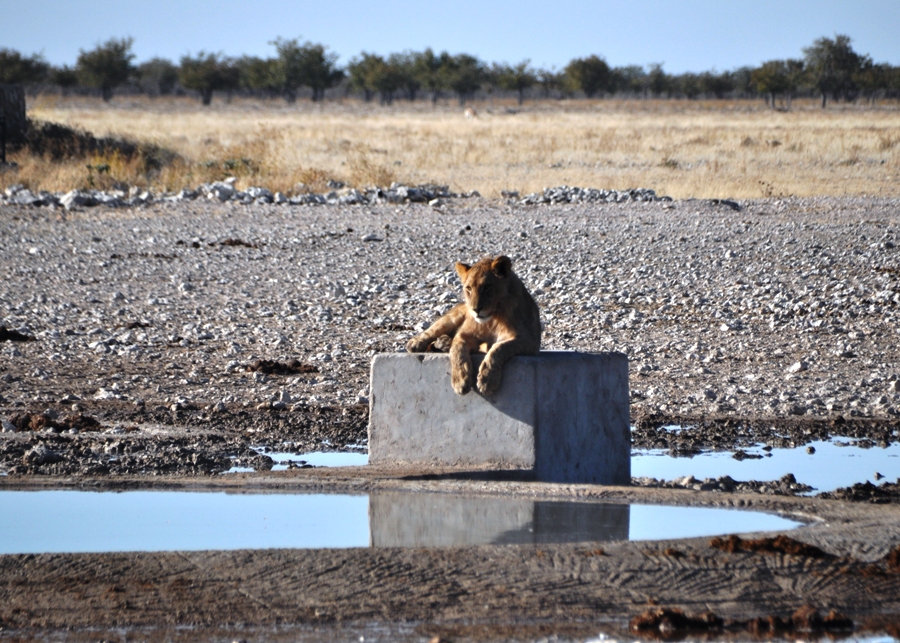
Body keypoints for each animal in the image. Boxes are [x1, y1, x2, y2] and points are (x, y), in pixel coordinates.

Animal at [408, 254, 540, 394]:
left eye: (487, 286)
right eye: (469, 288)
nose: (476, 309)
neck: (492, 320)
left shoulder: (530, 341)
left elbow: (499, 348)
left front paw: (487, 380)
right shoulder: (464, 335)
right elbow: (457, 351)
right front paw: (460, 380)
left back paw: (444, 343)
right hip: (451, 318)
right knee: (431, 332)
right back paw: (418, 343)